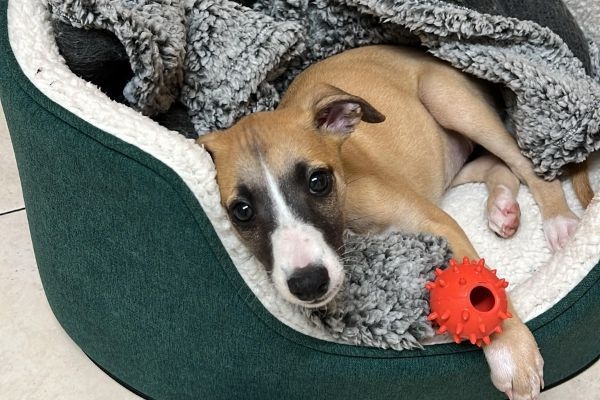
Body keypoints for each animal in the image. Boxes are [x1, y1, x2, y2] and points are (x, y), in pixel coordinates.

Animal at [199, 44, 592, 400]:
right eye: (242, 211)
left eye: (318, 181)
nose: (308, 283)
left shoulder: (438, 222)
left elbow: (480, 283)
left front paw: (512, 355)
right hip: (451, 168)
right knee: (499, 167)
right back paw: (502, 208)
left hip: (449, 100)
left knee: (526, 164)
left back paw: (559, 221)